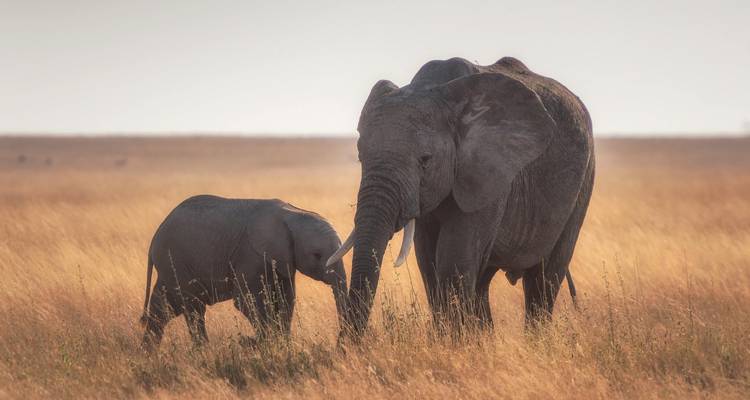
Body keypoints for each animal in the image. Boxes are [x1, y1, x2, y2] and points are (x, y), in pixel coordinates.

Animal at [140, 195, 348, 349]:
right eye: (317, 255)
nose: (340, 344)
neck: (293, 214)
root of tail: (154, 238)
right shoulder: (250, 255)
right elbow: (247, 300)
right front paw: (266, 345)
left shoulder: (283, 261)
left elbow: (286, 299)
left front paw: (282, 346)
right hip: (175, 261)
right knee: (193, 308)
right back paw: (203, 352)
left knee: (164, 307)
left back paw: (148, 354)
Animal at [327, 56, 595, 336]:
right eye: (361, 157)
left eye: (425, 160)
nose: (347, 344)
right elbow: (428, 261)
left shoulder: (489, 172)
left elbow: (453, 261)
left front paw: (455, 342)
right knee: (483, 281)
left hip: (584, 181)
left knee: (544, 278)